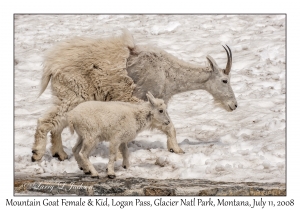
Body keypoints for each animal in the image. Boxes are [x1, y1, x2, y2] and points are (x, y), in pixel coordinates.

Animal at [31, 29, 238, 162]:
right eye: (224, 80)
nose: (234, 105)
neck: (168, 72)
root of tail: (52, 66)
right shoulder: (143, 99)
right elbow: (169, 125)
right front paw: (177, 149)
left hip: (67, 96)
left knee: (58, 123)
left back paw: (60, 154)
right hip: (74, 94)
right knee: (47, 121)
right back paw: (37, 154)